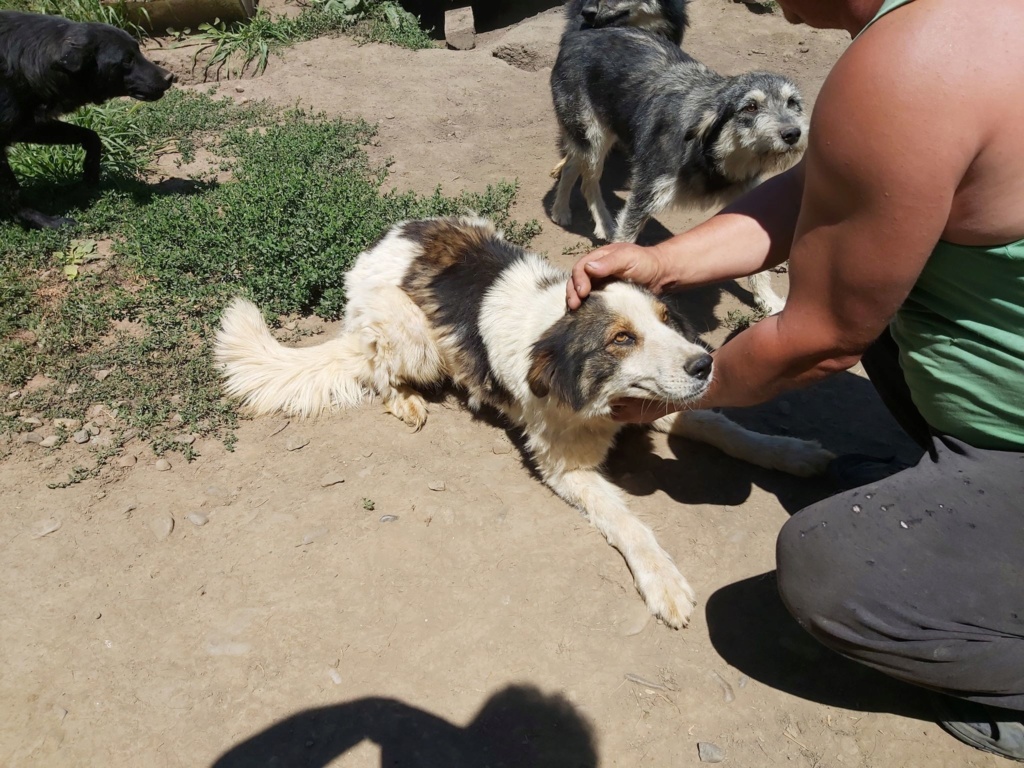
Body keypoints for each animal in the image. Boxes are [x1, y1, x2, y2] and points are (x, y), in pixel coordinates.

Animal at [0, 11, 174, 228]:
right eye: (126, 60)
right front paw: (41, 221)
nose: (170, 77)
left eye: (138, 50)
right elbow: (13, 192)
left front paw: (90, 175)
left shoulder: (27, 125)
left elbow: (92, 136)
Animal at [216, 218, 831, 630]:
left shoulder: (657, 403)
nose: (706, 364)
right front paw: (665, 583)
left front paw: (792, 452)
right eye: (622, 339)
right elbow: (630, 524)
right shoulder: (565, 468)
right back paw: (407, 400)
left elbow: (726, 428)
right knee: (378, 370)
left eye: (665, 320)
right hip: (412, 337)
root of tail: (376, 250)